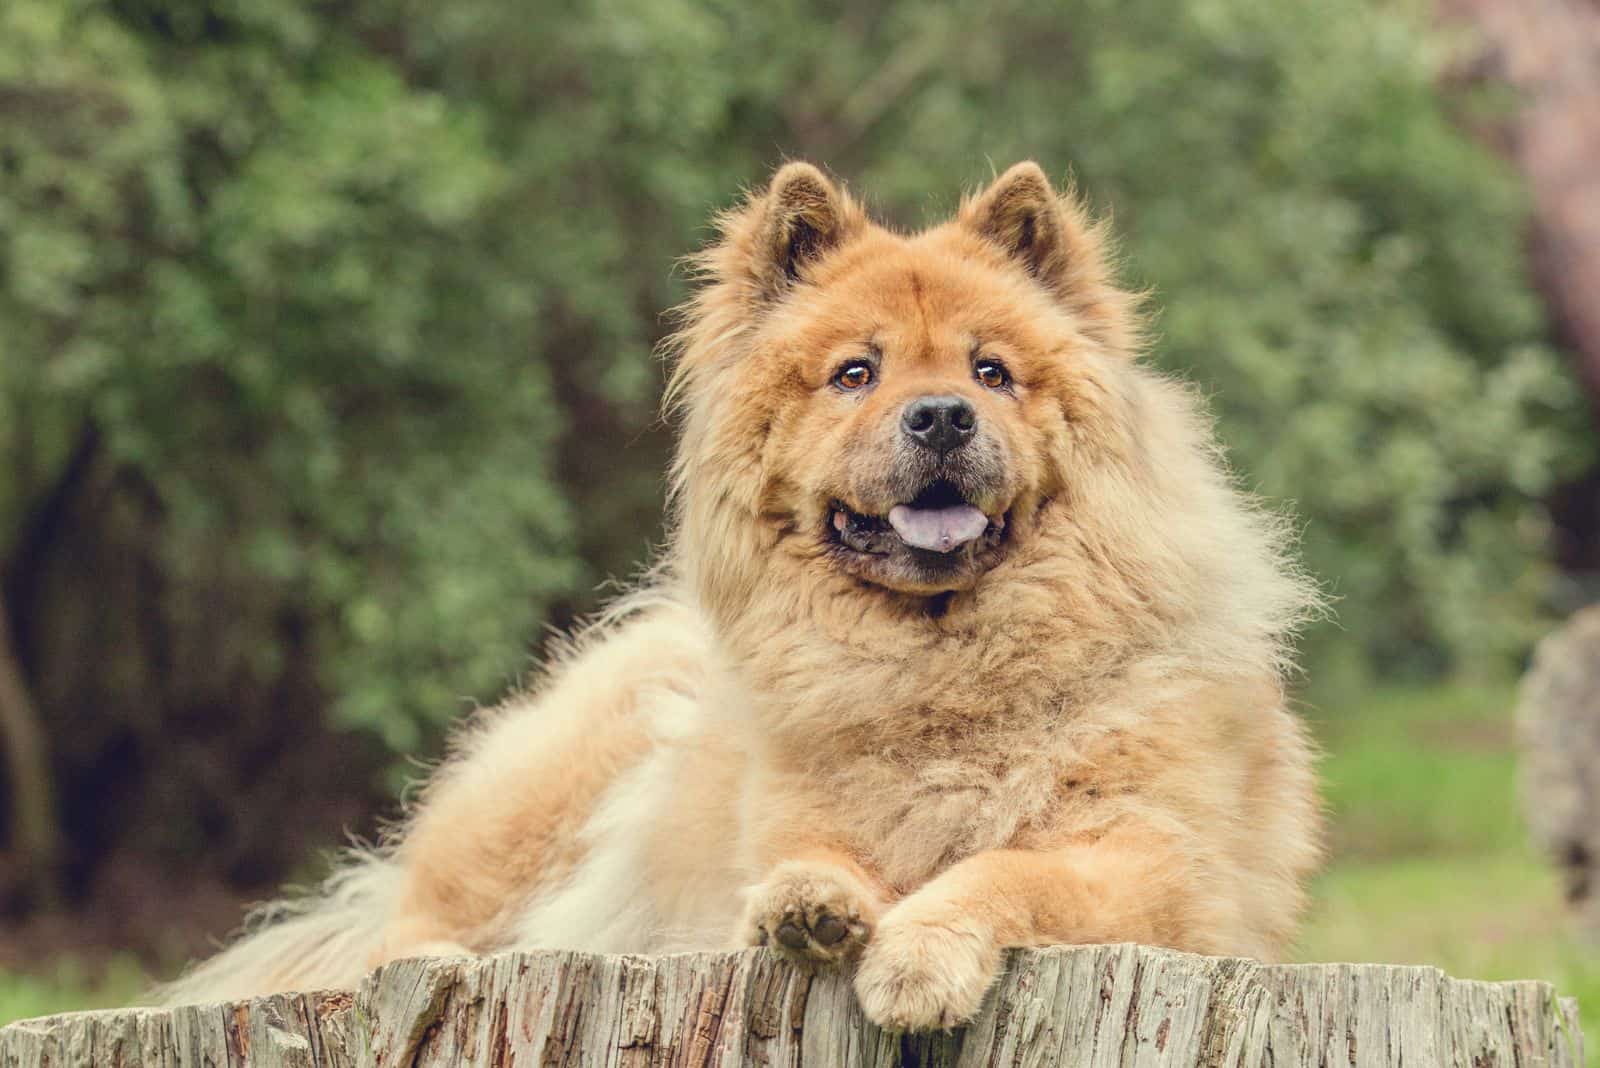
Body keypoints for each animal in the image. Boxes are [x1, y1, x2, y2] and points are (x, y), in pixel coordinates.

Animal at [162, 163, 1318, 1029]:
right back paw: (449, 961)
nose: (942, 417)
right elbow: (817, 856)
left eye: (991, 372)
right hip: (542, 804)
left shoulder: (1159, 862)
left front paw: (914, 955)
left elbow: (1007, 871)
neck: (941, 668)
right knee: (406, 926)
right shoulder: (793, 819)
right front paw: (813, 904)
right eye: (856, 374)